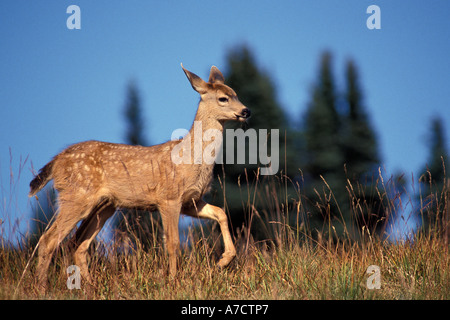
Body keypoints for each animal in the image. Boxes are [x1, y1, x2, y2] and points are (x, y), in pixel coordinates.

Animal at [29, 64, 251, 290]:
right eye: (223, 98)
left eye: (236, 93)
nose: (246, 111)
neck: (191, 160)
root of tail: (56, 161)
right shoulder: (168, 197)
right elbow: (172, 242)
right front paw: (173, 281)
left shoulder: (191, 201)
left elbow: (221, 213)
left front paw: (224, 260)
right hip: (76, 196)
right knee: (49, 240)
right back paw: (41, 287)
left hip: (104, 206)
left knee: (78, 244)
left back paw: (89, 287)